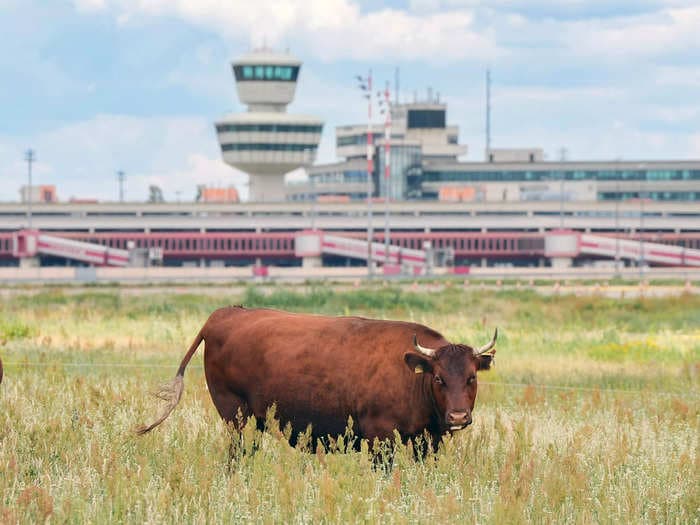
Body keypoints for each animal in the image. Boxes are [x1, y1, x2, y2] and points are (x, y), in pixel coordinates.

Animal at [138, 304, 498, 448]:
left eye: (471, 378)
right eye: (438, 379)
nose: (458, 416)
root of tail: (224, 314)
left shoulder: (429, 441)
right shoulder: (380, 438)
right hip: (235, 415)